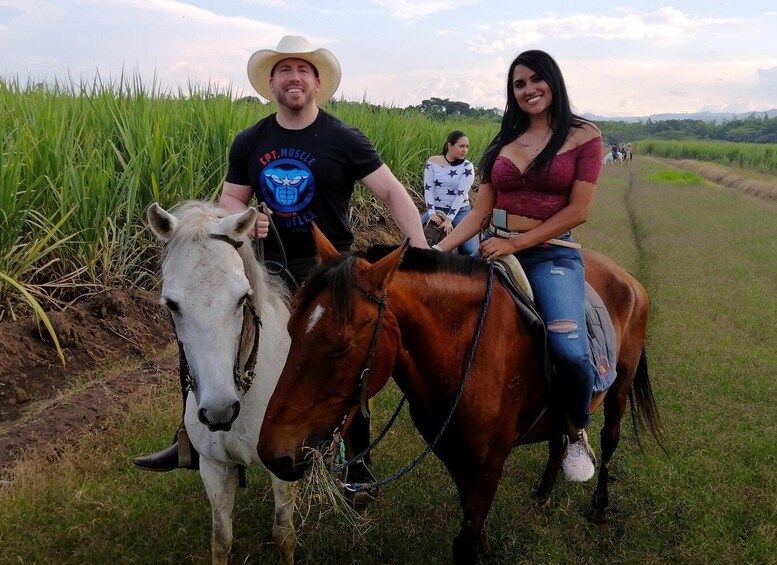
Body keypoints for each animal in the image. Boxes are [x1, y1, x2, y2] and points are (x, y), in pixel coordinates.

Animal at [147, 202, 296, 564]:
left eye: (243, 298)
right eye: (171, 304)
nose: (219, 412)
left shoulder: (282, 469)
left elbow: (284, 534)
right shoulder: (214, 468)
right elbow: (221, 539)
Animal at [255, 227, 660, 560]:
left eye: (339, 347)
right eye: (291, 327)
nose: (274, 455)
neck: (467, 351)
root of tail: (629, 279)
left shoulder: (487, 467)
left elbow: (465, 544)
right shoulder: (457, 457)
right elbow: (473, 530)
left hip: (619, 387)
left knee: (609, 438)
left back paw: (599, 505)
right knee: (559, 438)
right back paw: (543, 495)